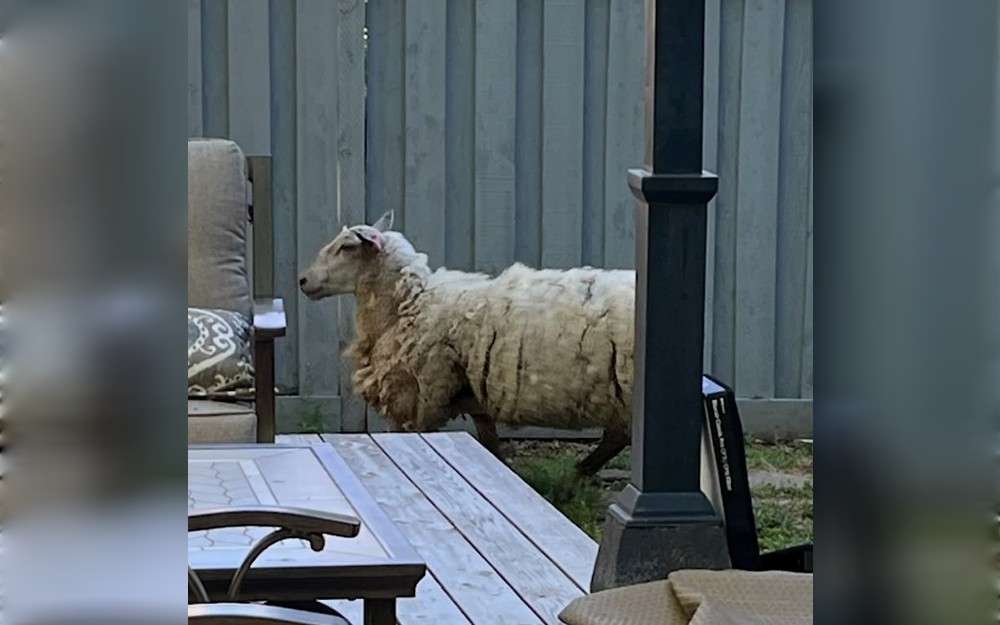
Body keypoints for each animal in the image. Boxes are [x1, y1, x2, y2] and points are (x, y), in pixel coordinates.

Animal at [299, 211, 635, 475]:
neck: (408, 304)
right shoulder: (474, 394)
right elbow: (489, 440)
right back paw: (578, 475)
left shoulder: (422, 397)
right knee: (617, 436)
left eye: (347, 246)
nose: (302, 280)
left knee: (618, 436)